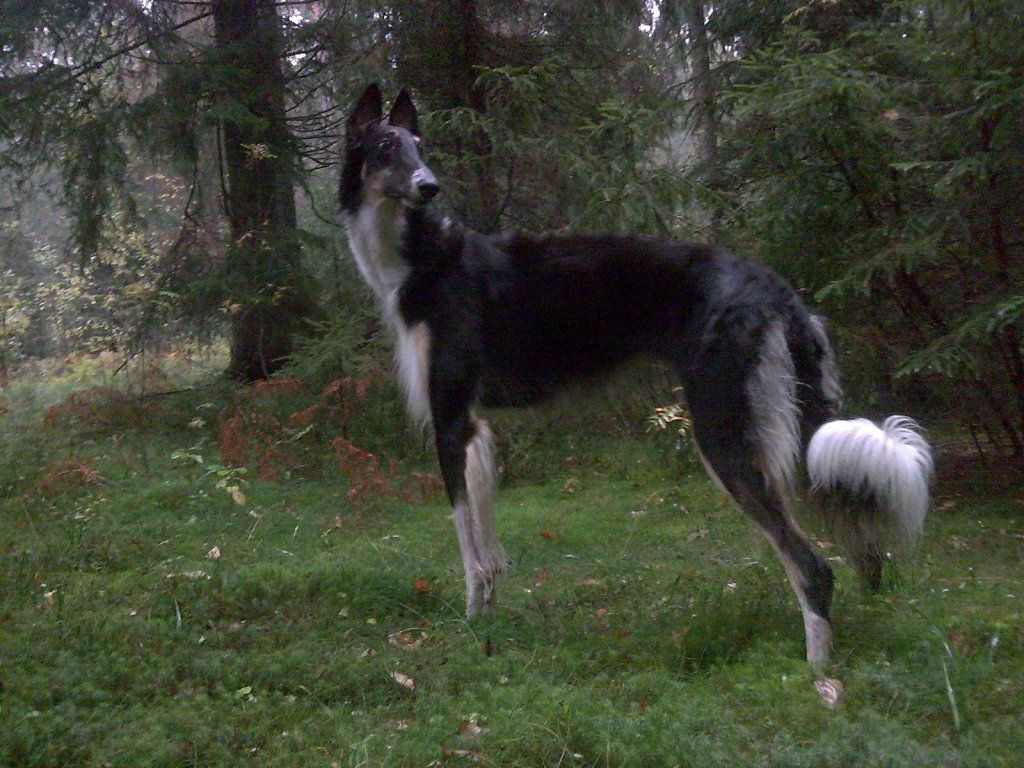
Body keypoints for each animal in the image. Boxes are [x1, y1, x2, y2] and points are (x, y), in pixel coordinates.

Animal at [339, 83, 933, 667]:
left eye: (420, 146)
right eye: (387, 146)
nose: (429, 186)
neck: (424, 258)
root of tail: (774, 286)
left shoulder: (448, 421)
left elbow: (468, 548)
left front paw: (468, 628)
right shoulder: (474, 427)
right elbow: (488, 545)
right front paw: (488, 619)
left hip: (723, 436)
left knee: (813, 567)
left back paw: (817, 671)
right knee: (866, 558)